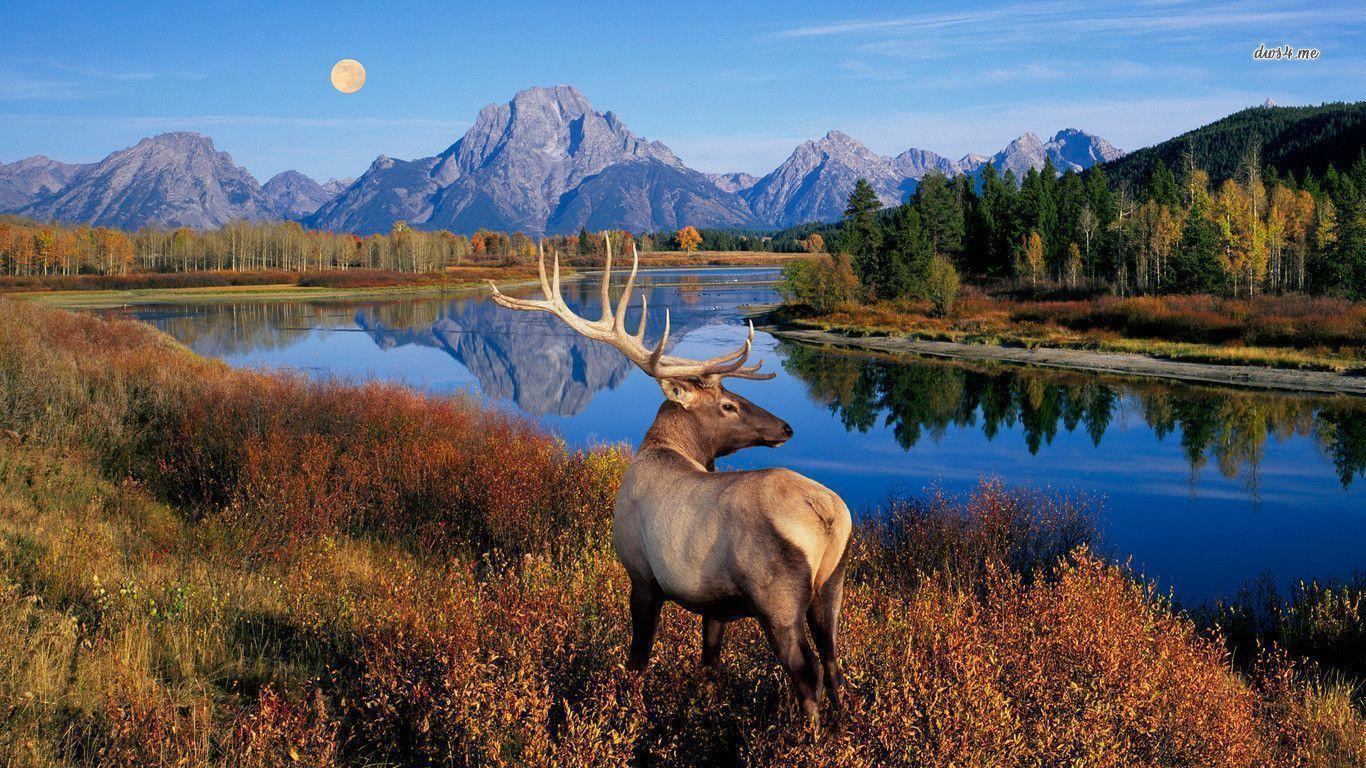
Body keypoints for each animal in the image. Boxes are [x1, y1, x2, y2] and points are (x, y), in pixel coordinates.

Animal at [489, 236, 853, 727]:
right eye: (728, 405)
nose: (786, 427)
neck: (664, 449)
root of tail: (829, 515)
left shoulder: (641, 574)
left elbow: (638, 657)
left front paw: (627, 706)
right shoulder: (714, 602)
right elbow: (709, 661)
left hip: (777, 600)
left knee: (807, 671)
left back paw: (807, 735)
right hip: (831, 587)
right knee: (833, 662)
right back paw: (841, 727)